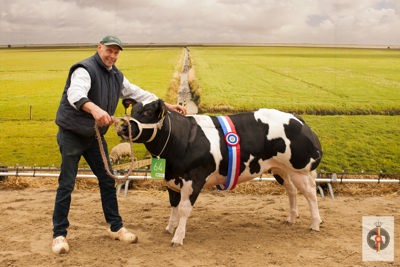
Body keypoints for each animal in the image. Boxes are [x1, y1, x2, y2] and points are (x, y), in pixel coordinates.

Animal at [115, 100, 322, 247]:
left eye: (147, 113)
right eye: (132, 111)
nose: (123, 127)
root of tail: (297, 118)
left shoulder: (193, 179)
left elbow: (183, 209)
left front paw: (178, 238)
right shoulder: (172, 179)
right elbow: (173, 206)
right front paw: (170, 228)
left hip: (300, 170)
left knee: (311, 194)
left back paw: (315, 223)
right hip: (281, 169)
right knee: (292, 191)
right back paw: (291, 219)